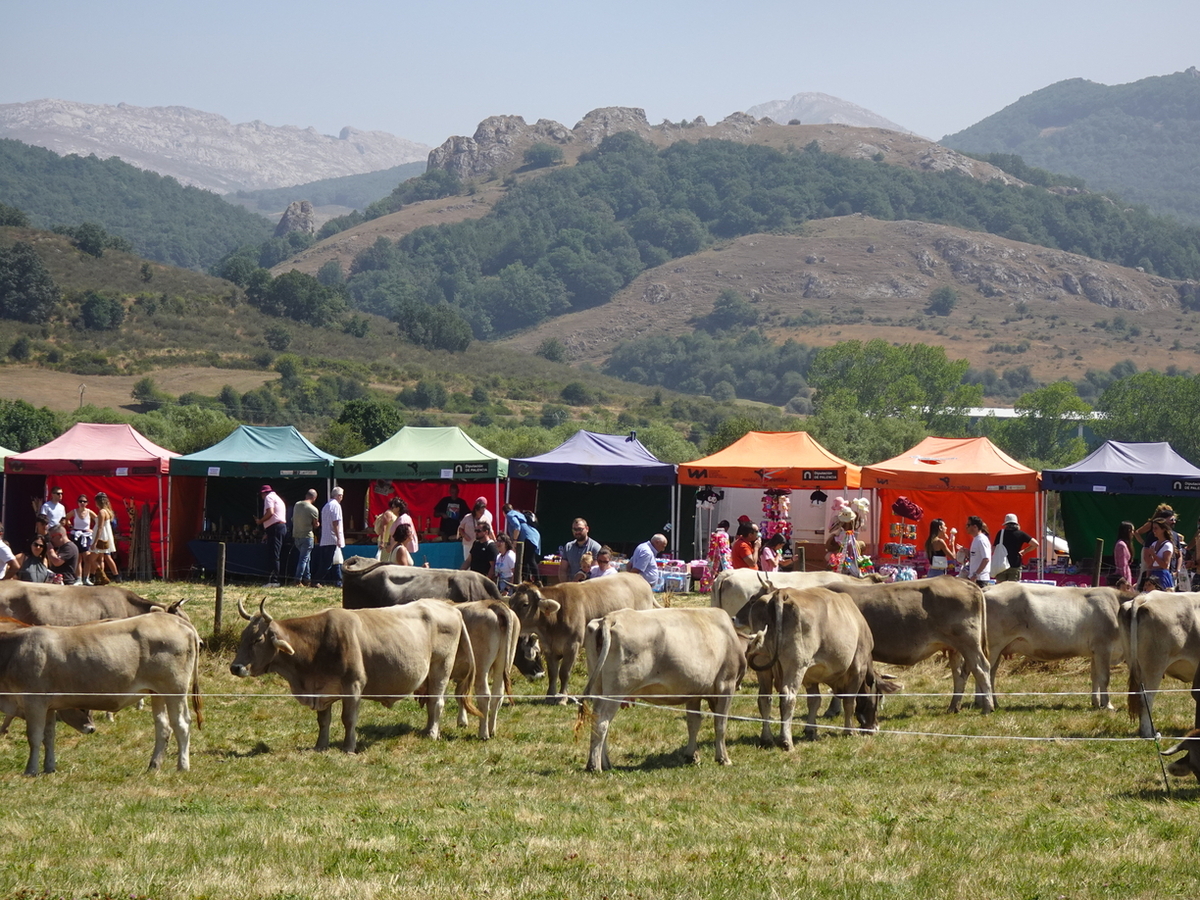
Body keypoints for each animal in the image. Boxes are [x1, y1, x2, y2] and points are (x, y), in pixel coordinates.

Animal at [229, 600, 477, 753]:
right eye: (243, 636)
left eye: (258, 639)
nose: (235, 667)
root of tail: (451, 608)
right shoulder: (322, 690)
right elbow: (324, 720)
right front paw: (320, 745)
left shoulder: (353, 686)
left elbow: (348, 719)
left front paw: (348, 747)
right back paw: (426, 730)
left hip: (440, 668)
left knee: (437, 702)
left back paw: (432, 733)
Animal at [506, 578, 657, 705]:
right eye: (510, 602)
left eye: (525, 604)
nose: (511, 618)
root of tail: (640, 578)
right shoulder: (550, 648)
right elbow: (552, 673)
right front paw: (549, 697)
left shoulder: (572, 646)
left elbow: (564, 672)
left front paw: (562, 698)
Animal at [578, 602, 748, 772]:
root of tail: (611, 617)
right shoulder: (726, 684)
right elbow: (720, 724)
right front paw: (723, 758)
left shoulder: (693, 692)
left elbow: (693, 723)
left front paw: (692, 755)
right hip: (617, 688)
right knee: (602, 721)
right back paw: (595, 766)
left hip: (598, 686)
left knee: (598, 718)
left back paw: (605, 763)